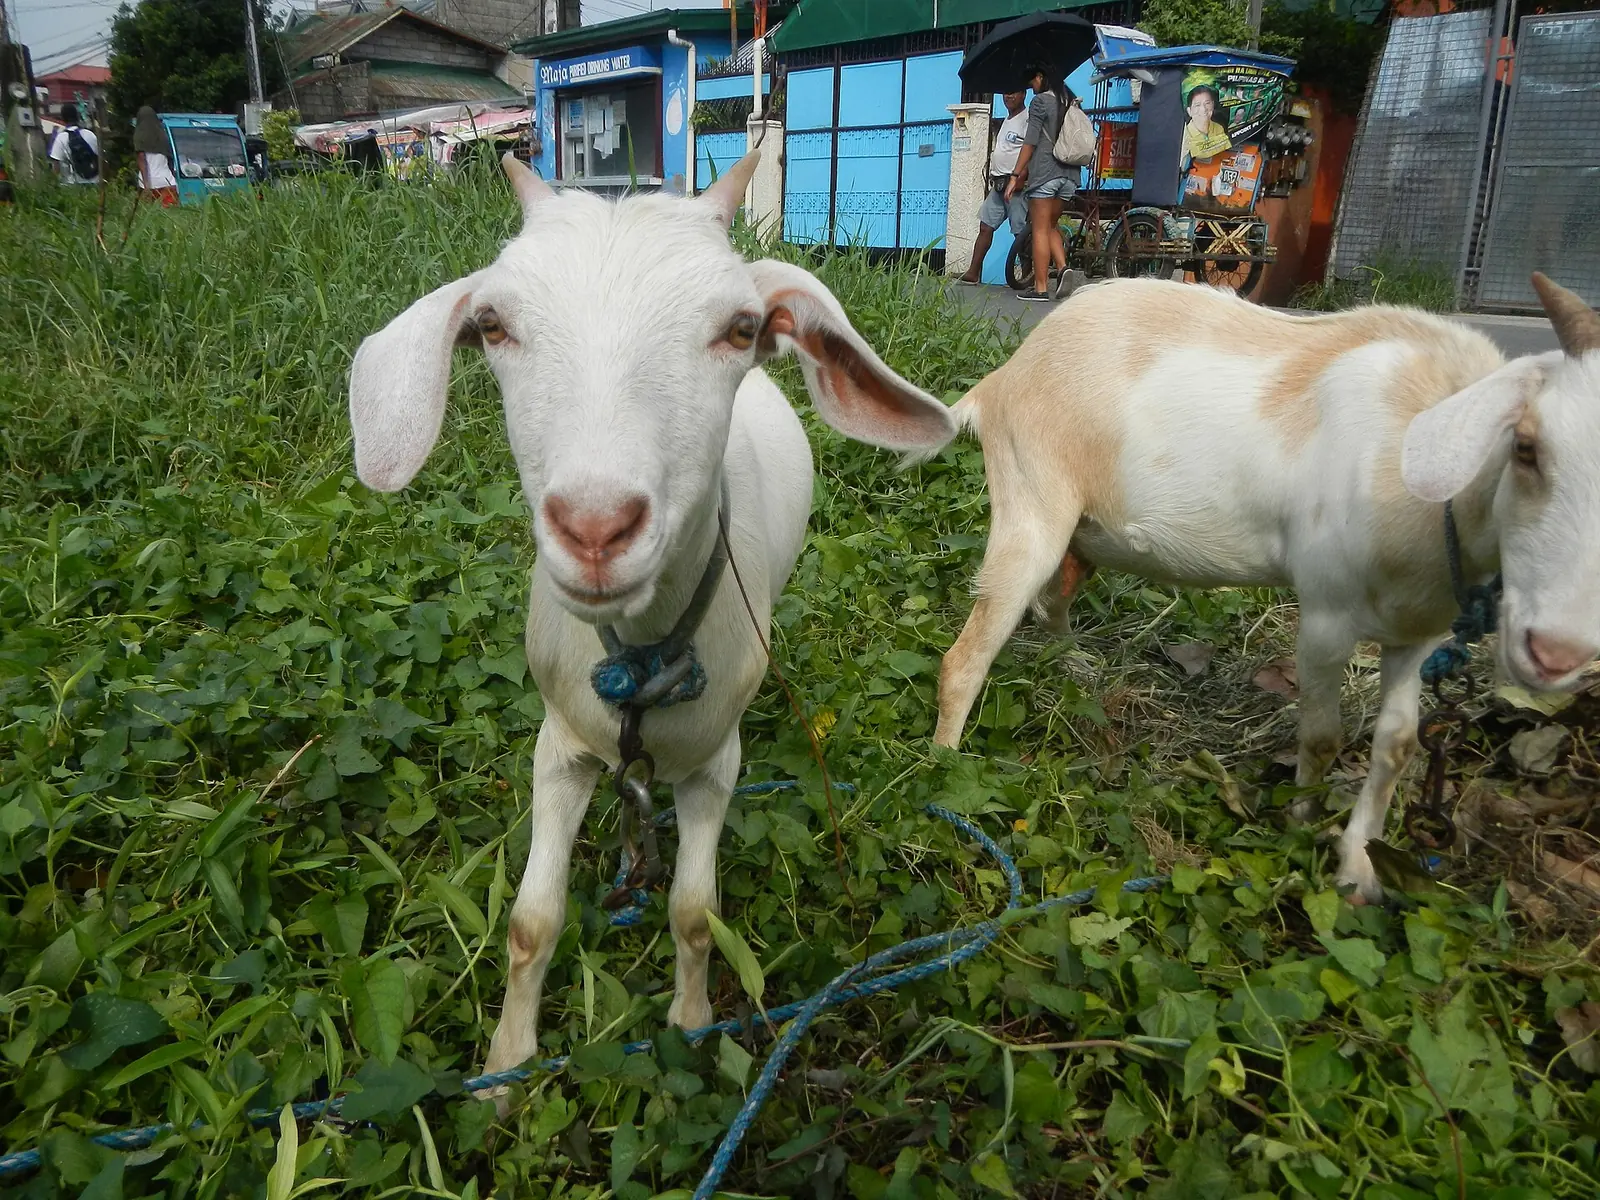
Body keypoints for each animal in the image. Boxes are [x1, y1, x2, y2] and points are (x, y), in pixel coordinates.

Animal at [347, 152, 956, 1080]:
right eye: (491, 324)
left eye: (741, 328)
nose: (596, 527)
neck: (640, 653)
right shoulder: (559, 747)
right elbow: (530, 923)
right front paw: (506, 1068)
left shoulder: (716, 767)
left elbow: (694, 912)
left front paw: (691, 1021)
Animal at [930, 274, 1600, 901]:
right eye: (1525, 447)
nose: (1555, 653)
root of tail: (1005, 377)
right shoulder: (1326, 614)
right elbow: (1323, 736)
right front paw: (1301, 825)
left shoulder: (1418, 630)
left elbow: (1397, 743)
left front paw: (1359, 868)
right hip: (1032, 498)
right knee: (969, 652)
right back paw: (943, 772)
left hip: (1086, 530)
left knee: (1054, 598)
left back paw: (1073, 667)